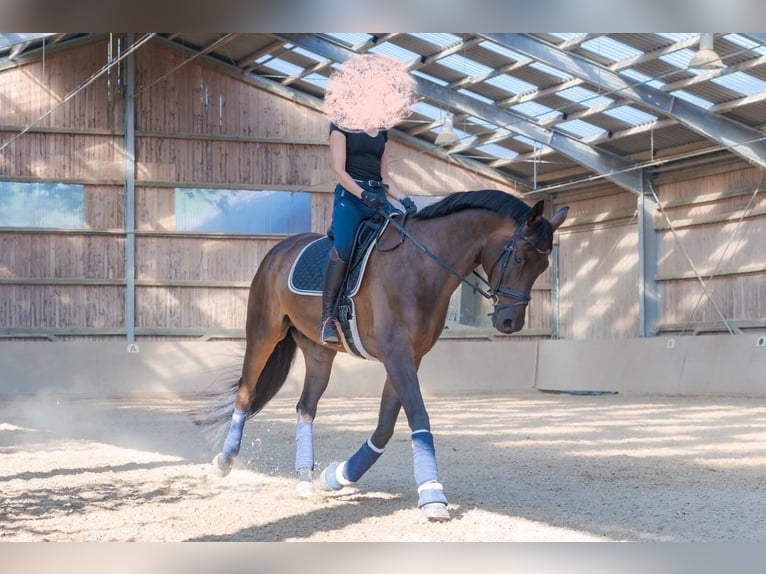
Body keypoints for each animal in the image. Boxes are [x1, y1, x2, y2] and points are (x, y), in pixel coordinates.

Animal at [198, 189, 568, 520]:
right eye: (518, 258)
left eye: (544, 265)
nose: (510, 322)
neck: (421, 265)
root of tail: (279, 249)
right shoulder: (396, 354)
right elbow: (418, 416)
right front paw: (432, 494)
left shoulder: (410, 357)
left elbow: (384, 428)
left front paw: (336, 476)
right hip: (263, 334)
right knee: (245, 394)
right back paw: (223, 462)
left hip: (319, 353)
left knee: (305, 407)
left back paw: (304, 478)